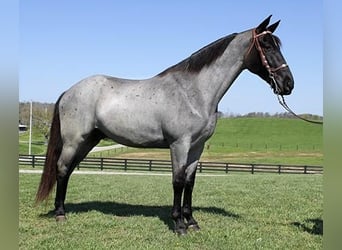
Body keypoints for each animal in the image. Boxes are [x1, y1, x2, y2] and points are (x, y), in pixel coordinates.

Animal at [36, 15, 294, 234]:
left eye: (277, 46)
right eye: (267, 46)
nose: (288, 83)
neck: (194, 92)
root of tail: (69, 91)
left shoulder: (197, 146)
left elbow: (190, 182)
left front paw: (192, 222)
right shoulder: (179, 144)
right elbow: (177, 181)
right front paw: (179, 225)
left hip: (89, 140)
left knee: (68, 170)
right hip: (74, 141)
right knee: (62, 168)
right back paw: (60, 214)